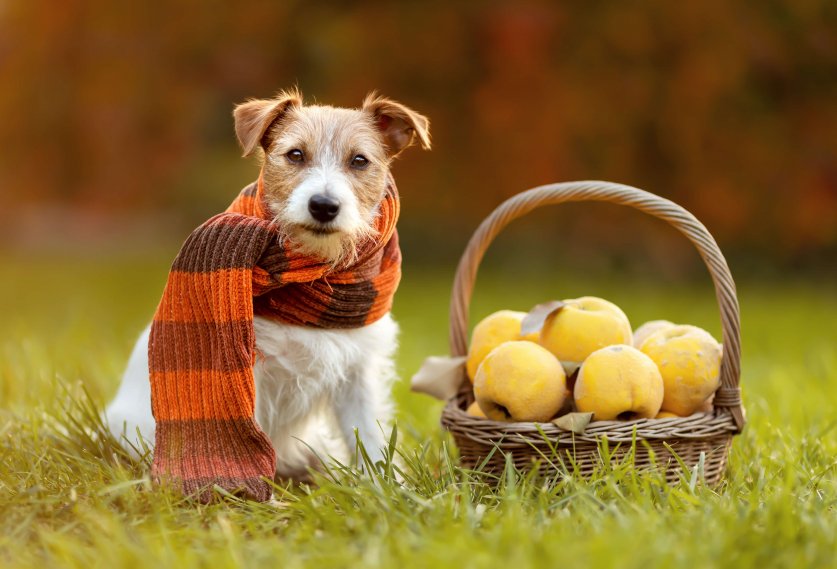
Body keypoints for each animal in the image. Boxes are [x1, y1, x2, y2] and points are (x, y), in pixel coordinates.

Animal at [106, 90, 432, 484]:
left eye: (359, 160)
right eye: (295, 154)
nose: (324, 205)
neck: (315, 277)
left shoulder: (358, 376)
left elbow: (369, 438)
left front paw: (385, 488)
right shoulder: (249, 378)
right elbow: (248, 442)